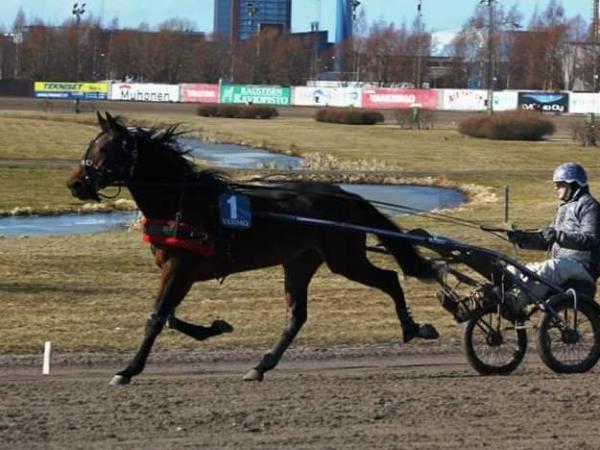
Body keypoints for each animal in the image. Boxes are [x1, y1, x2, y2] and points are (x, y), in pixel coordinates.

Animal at [67, 112, 441, 386]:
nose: (74, 183)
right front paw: (215, 327)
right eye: (90, 145)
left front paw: (127, 370)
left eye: (104, 149)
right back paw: (262, 365)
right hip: (301, 261)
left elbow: (157, 318)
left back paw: (414, 328)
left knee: (389, 279)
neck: (181, 202)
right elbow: (169, 317)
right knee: (296, 316)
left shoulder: (180, 268)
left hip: (344, 258)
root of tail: (346, 195)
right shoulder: (176, 270)